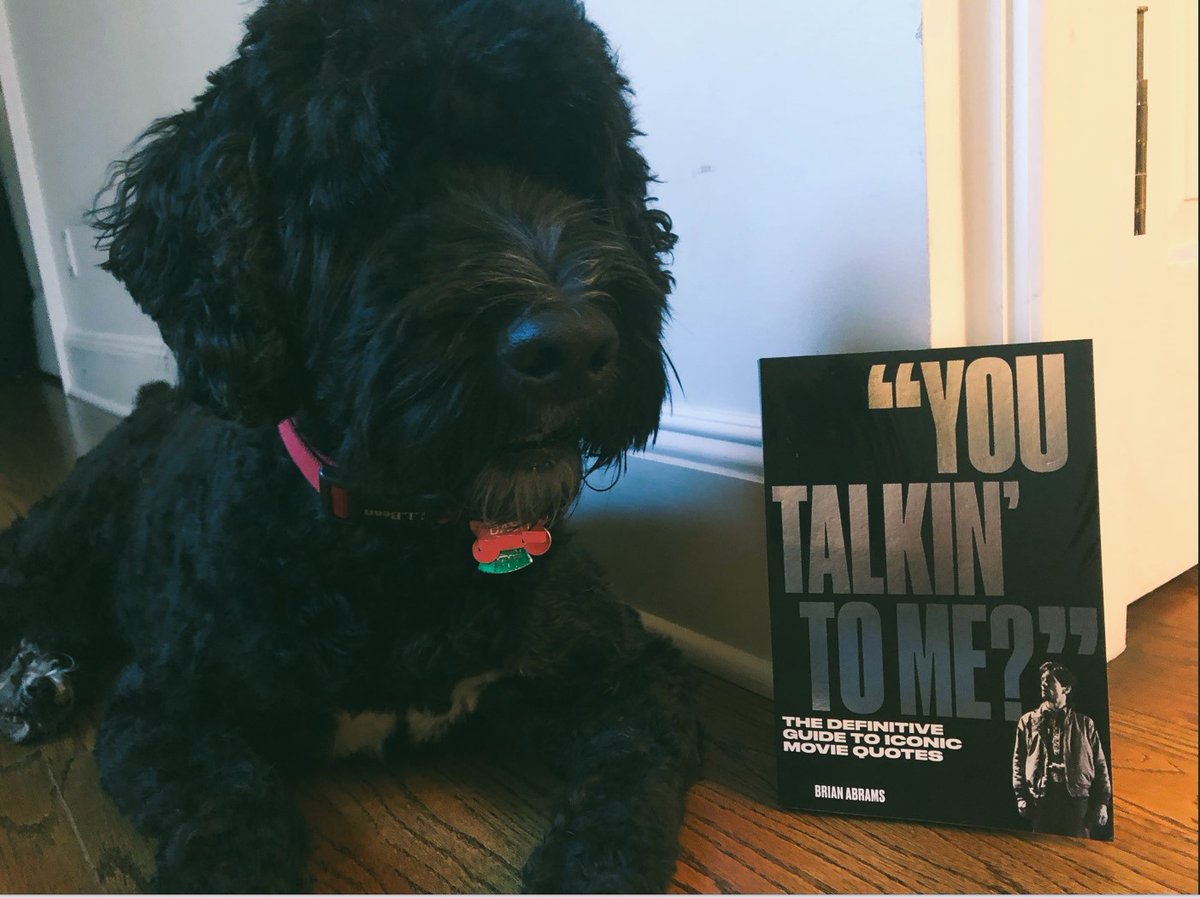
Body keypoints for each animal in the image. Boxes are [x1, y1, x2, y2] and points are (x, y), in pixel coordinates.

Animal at [0, 1, 700, 893]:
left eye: (569, 164)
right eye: (376, 184)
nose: (572, 345)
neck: (394, 537)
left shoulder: (627, 668)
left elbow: (625, 787)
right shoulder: (163, 709)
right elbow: (232, 813)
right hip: (60, 537)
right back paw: (31, 675)